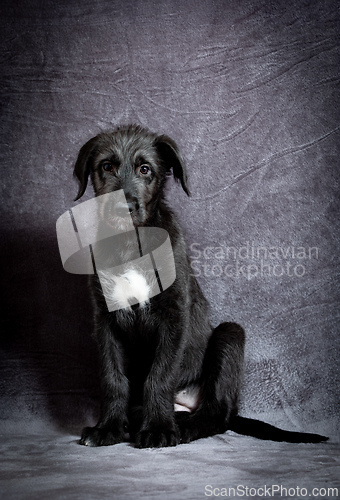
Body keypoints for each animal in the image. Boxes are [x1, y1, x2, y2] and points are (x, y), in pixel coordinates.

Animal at [73, 125, 328, 450]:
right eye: (106, 166)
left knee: (217, 414)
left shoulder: (174, 315)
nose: (124, 207)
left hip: (230, 335)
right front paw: (109, 428)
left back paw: (183, 426)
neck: (130, 244)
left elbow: (160, 375)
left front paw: (157, 430)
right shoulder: (105, 320)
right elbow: (112, 376)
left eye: (145, 169)